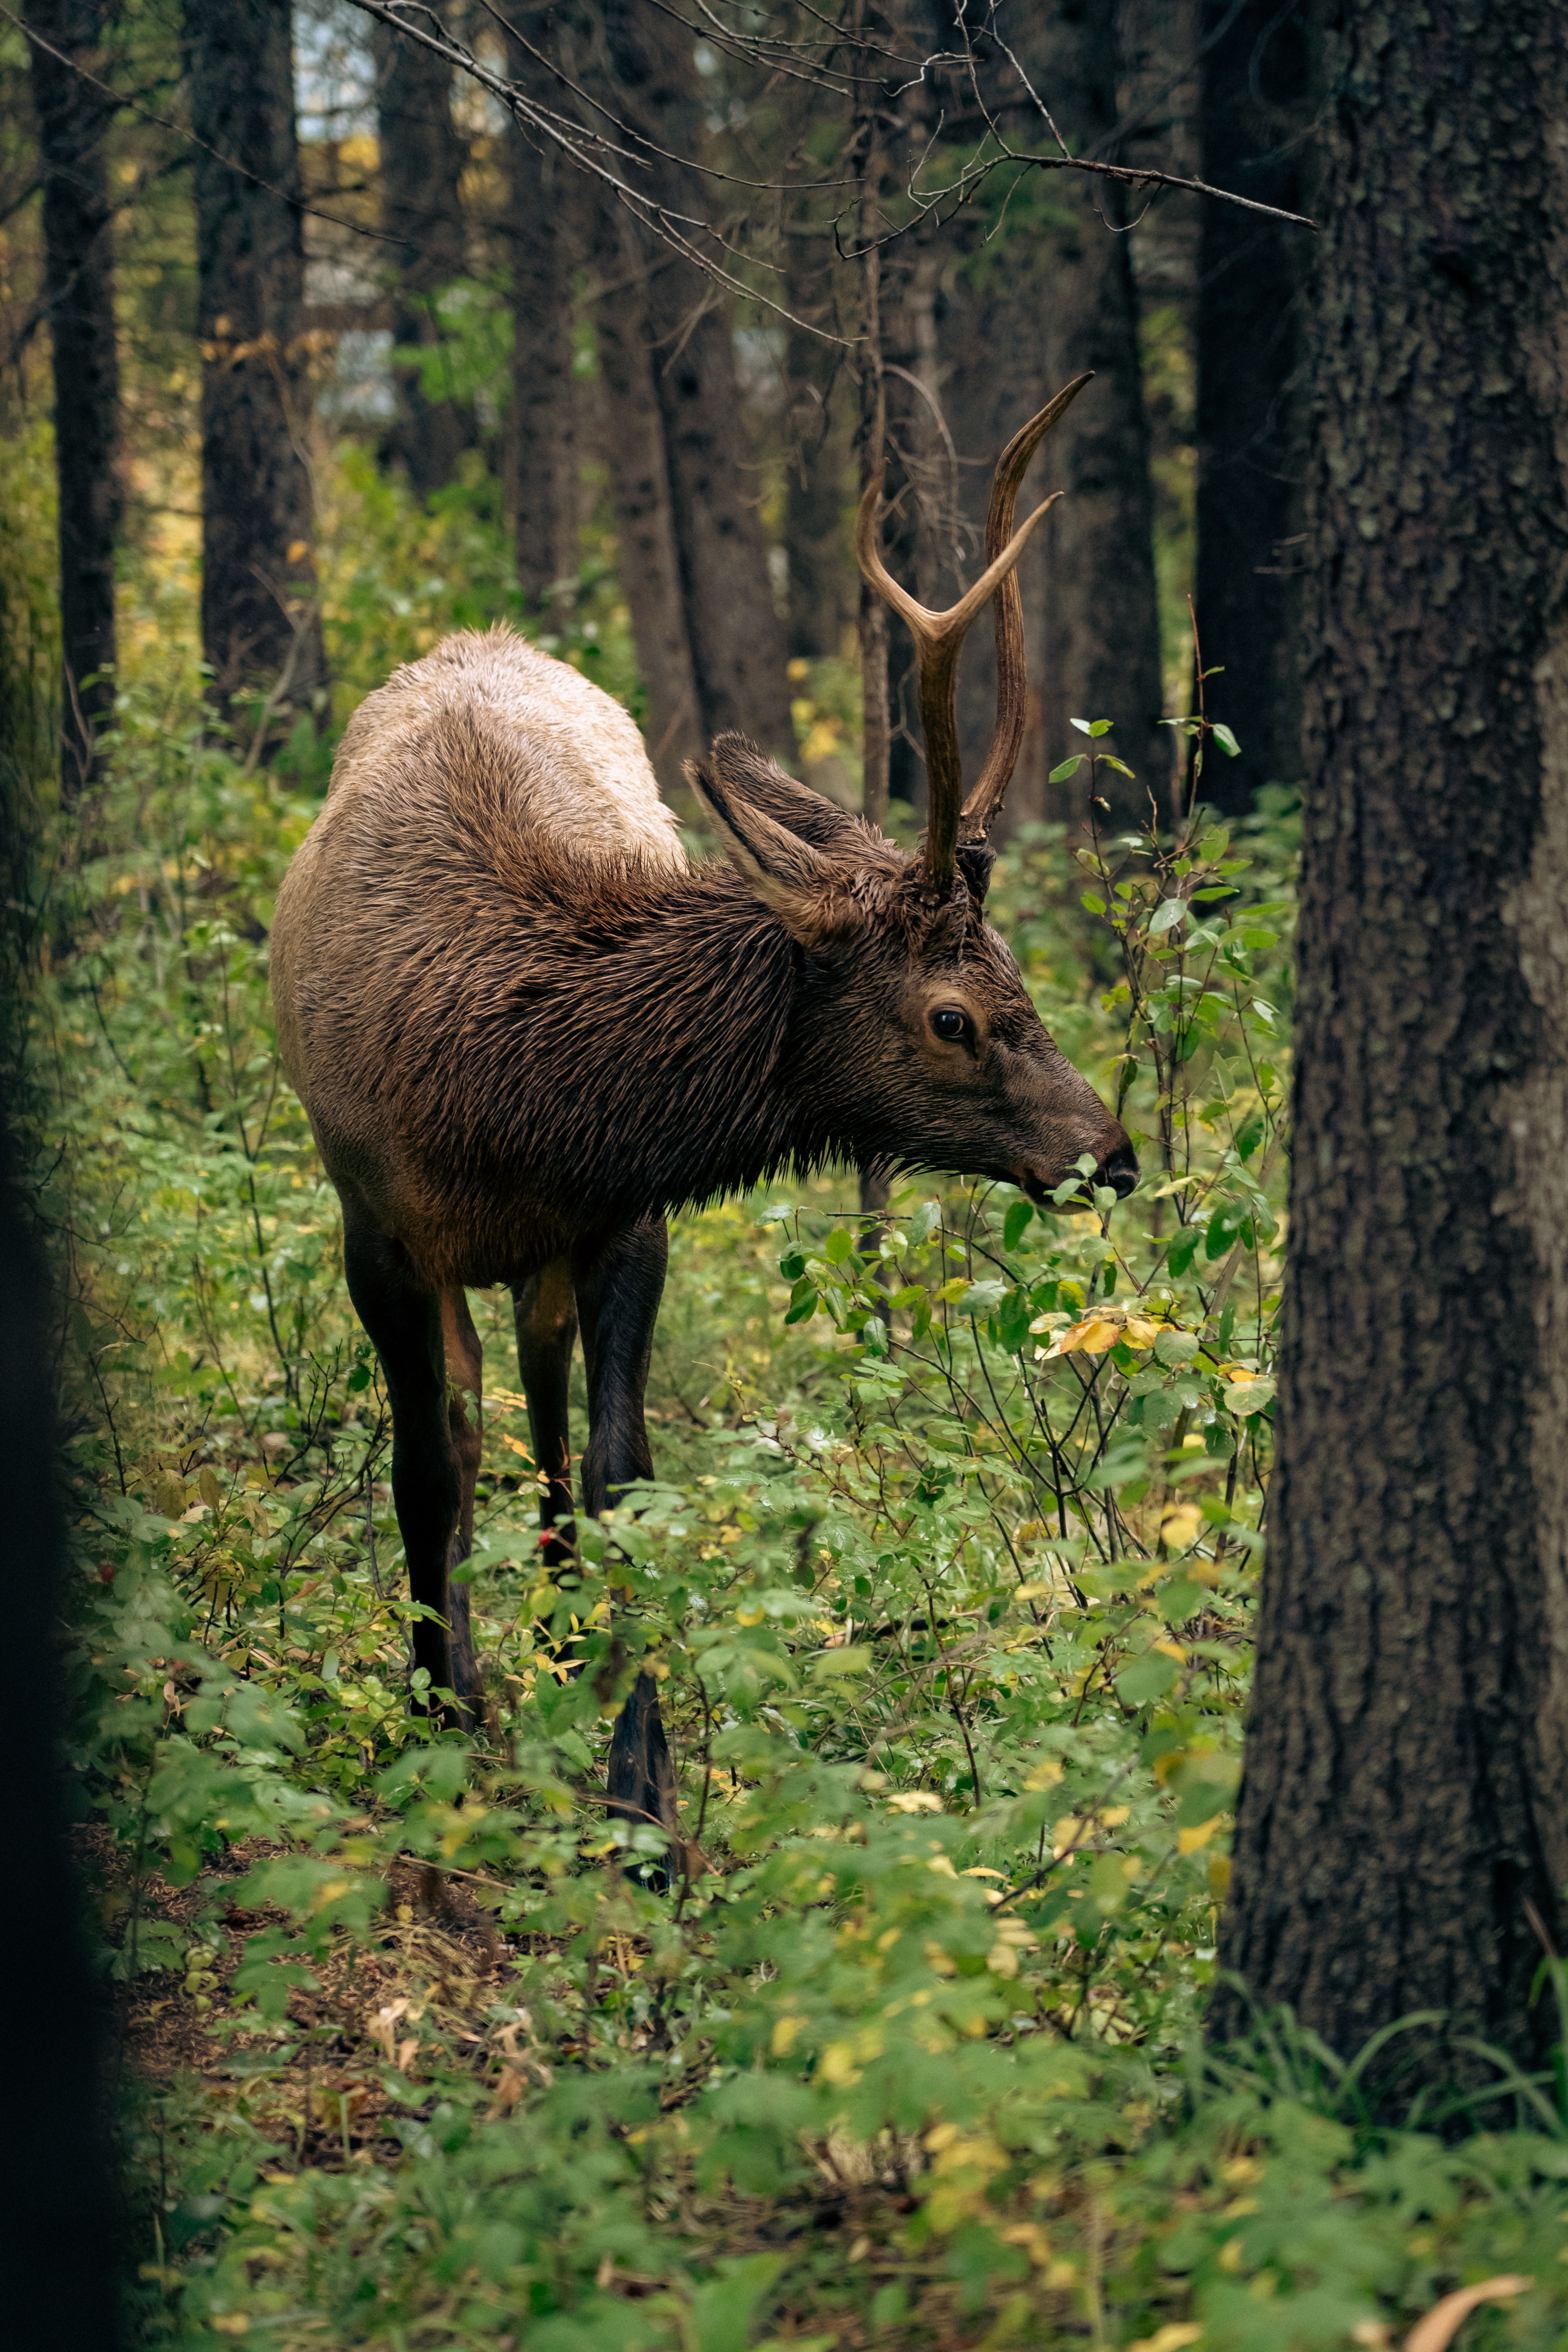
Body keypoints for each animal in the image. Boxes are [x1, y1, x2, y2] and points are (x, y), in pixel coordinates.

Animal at [269, 377, 1136, 1851]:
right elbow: (426, 1467)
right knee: (488, 1413)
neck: (506, 1097)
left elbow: (625, 1476)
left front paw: (639, 1798)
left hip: (553, 1258)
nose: (1109, 1153)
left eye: (1018, 970)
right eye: (951, 1016)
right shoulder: (371, 1219)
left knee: (546, 1396)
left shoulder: (628, 1217)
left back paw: (562, 1635)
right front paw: (440, 1714)